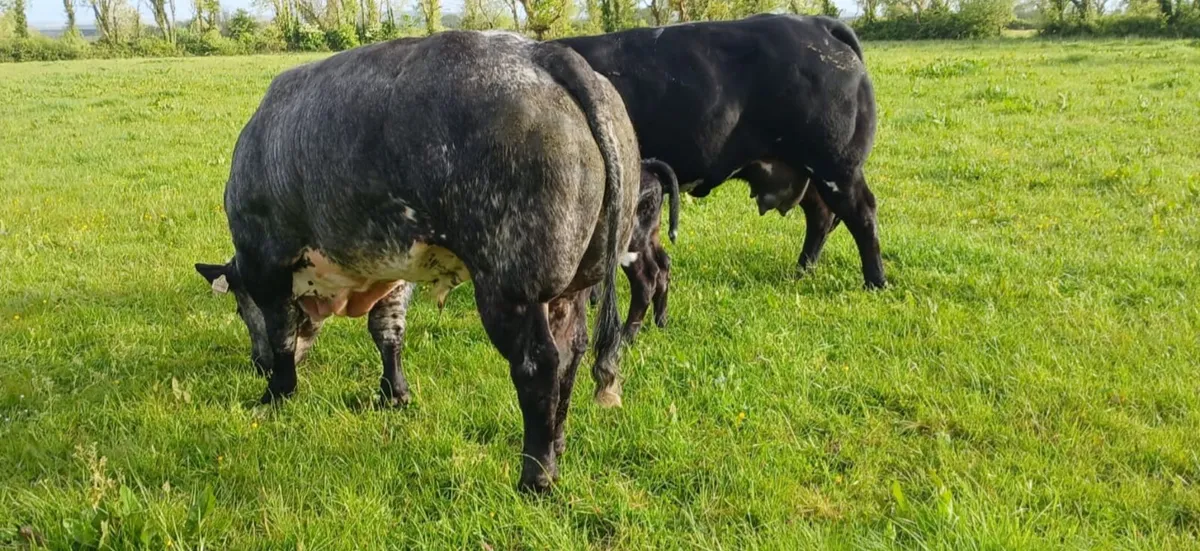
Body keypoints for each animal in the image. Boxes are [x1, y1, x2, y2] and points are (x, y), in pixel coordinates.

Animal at [193, 30, 641, 492]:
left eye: (238, 307)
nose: (256, 364)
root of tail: (541, 52)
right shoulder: (392, 269)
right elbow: (387, 331)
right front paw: (394, 393)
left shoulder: (266, 263)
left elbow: (282, 336)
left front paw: (276, 395)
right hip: (573, 283)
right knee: (572, 351)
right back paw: (558, 443)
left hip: (511, 286)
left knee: (539, 366)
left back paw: (536, 474)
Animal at [555, 14, 887, 288]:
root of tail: (818, 23)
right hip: (806, 169)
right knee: (821, 215)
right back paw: (802, 270)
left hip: (837, 166)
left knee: (862, 214)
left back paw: (875, 282)